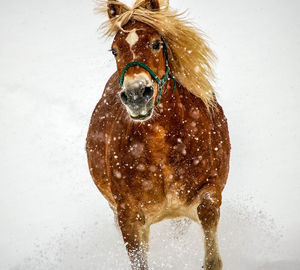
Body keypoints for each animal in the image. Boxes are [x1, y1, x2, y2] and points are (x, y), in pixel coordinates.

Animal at [85, 1, 231, 268]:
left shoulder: (210, 190)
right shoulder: (129, 216)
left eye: (156, 43)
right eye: (114, 51)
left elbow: (211, 247)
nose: (136, 94)